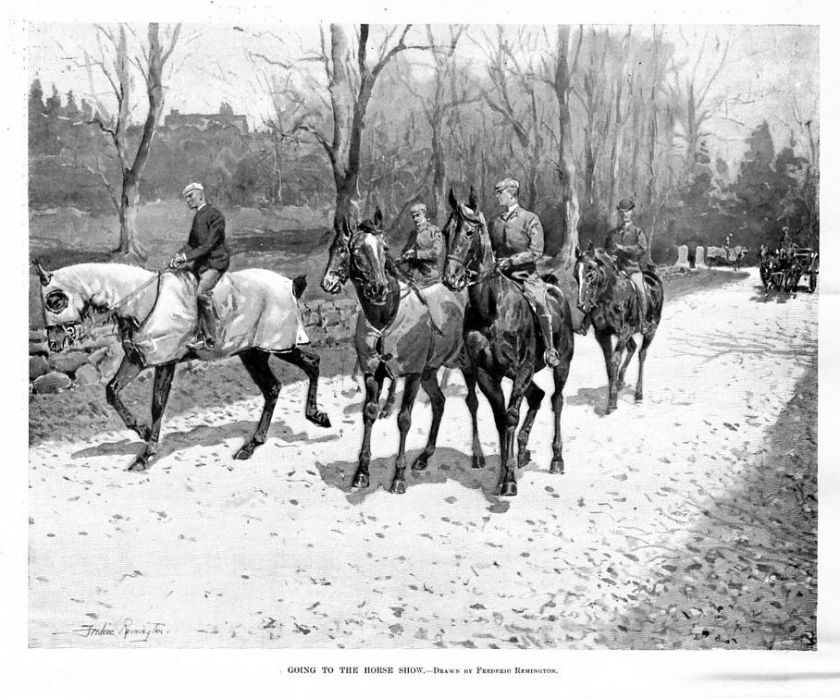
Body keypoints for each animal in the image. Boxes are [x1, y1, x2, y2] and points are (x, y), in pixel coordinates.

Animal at [36, 258, 332, 470]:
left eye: (55, 299)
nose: (54, 344)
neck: (142, 301)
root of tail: (291, 284)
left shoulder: (166, 361)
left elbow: (157, 404)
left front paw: (146, 455)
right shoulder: (136, 359)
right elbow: (112, 391)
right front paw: (142, 431)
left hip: (278, 346)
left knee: (312, 364)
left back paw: (316, 416)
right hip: (253, 353)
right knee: (274, 387)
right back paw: (252, 445)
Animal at [318, 209, 476, 492]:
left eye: (384, 247)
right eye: (348, 249)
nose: (378, 288)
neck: (385, 319)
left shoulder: (412, 375)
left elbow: (404, 420)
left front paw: (399, 476)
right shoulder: (374, 373)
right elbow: (369, 412)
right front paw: (362, 472)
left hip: (463, 364)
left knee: (475, 402)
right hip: (430, 372)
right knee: (439, 403)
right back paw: (425, 456)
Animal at [436, 189, 576, 494]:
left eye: (469, 232)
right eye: (445, 231)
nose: (451, 278)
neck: (492, 308)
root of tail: (555, 289)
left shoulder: (522, 368)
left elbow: (510, 415)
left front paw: (509, 479)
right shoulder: (488, 373)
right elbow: (501, 418)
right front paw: (504, 471)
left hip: (560, 364)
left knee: (557, 400)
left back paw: (557, 458)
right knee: (537, 396)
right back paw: (522, 450)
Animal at [576, 243, 664, 410]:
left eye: (590, 273)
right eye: (575, 274)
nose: (581, 305)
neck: (609, 296)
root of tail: (653, 276)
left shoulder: (624, 332)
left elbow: (615, 359)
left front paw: (612, 401)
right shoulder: (603, 335)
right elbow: (608, 364)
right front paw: (613, 391)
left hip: (651, 330)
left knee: (642, 354)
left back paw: (638, 393)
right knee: (633, 347)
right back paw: (621, 381)